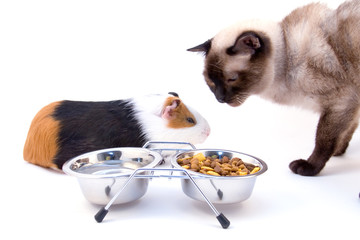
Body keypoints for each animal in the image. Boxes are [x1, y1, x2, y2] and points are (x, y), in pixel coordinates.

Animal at [188, 0, 360, 176]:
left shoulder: (340, 101)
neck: (287, 56)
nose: (220, 98)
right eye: (211, 82)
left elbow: (323, 141)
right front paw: (338, 151)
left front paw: (309, 167)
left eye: (232, 79)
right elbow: (348, 130)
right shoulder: (351, 105)